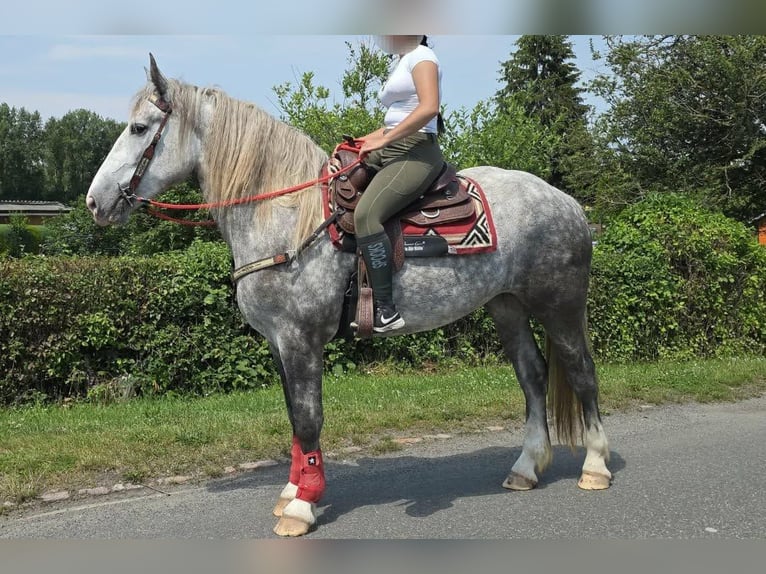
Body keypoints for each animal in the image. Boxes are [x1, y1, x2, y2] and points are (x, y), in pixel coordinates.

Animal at [86, 55, 611, 537]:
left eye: (139, 127)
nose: (95, 201)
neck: (286, 216)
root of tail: (566, 202)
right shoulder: (279, 343)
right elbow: (293, 418)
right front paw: (293, 491)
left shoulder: (300, 340)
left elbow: (308, 418)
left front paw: (303, 506)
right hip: (508, 306)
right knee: (532, 375)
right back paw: (526, 468)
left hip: (560, 306)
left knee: (582, 373)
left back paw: (595, 466)